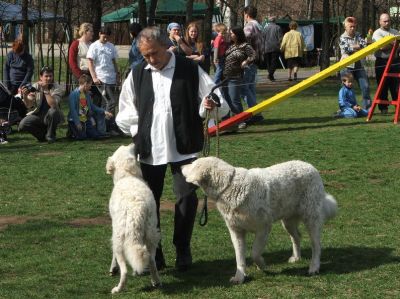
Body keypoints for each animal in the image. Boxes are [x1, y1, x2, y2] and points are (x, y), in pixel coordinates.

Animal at [108, 144, 162, 294]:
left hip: (119, 240)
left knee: (124, 270)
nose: (134, 144)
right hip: (152, 235)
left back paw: (117, 288)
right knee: (151, 260)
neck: (127, 176)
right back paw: (156, 281)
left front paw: (112, 268)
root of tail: (135, 209)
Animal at [181, 158, 338, 284]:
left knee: (316, 246)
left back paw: (314, 267)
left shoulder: (263, 228)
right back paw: (296, 257)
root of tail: (310, 166)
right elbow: (239, 259)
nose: (181, 166)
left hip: (311, 219)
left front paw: (261, 265)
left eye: (192, 164)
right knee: (297, 237)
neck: (229, 187)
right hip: (287, 222)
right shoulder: (236, 232)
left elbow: (255, 253)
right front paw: (239, 277)